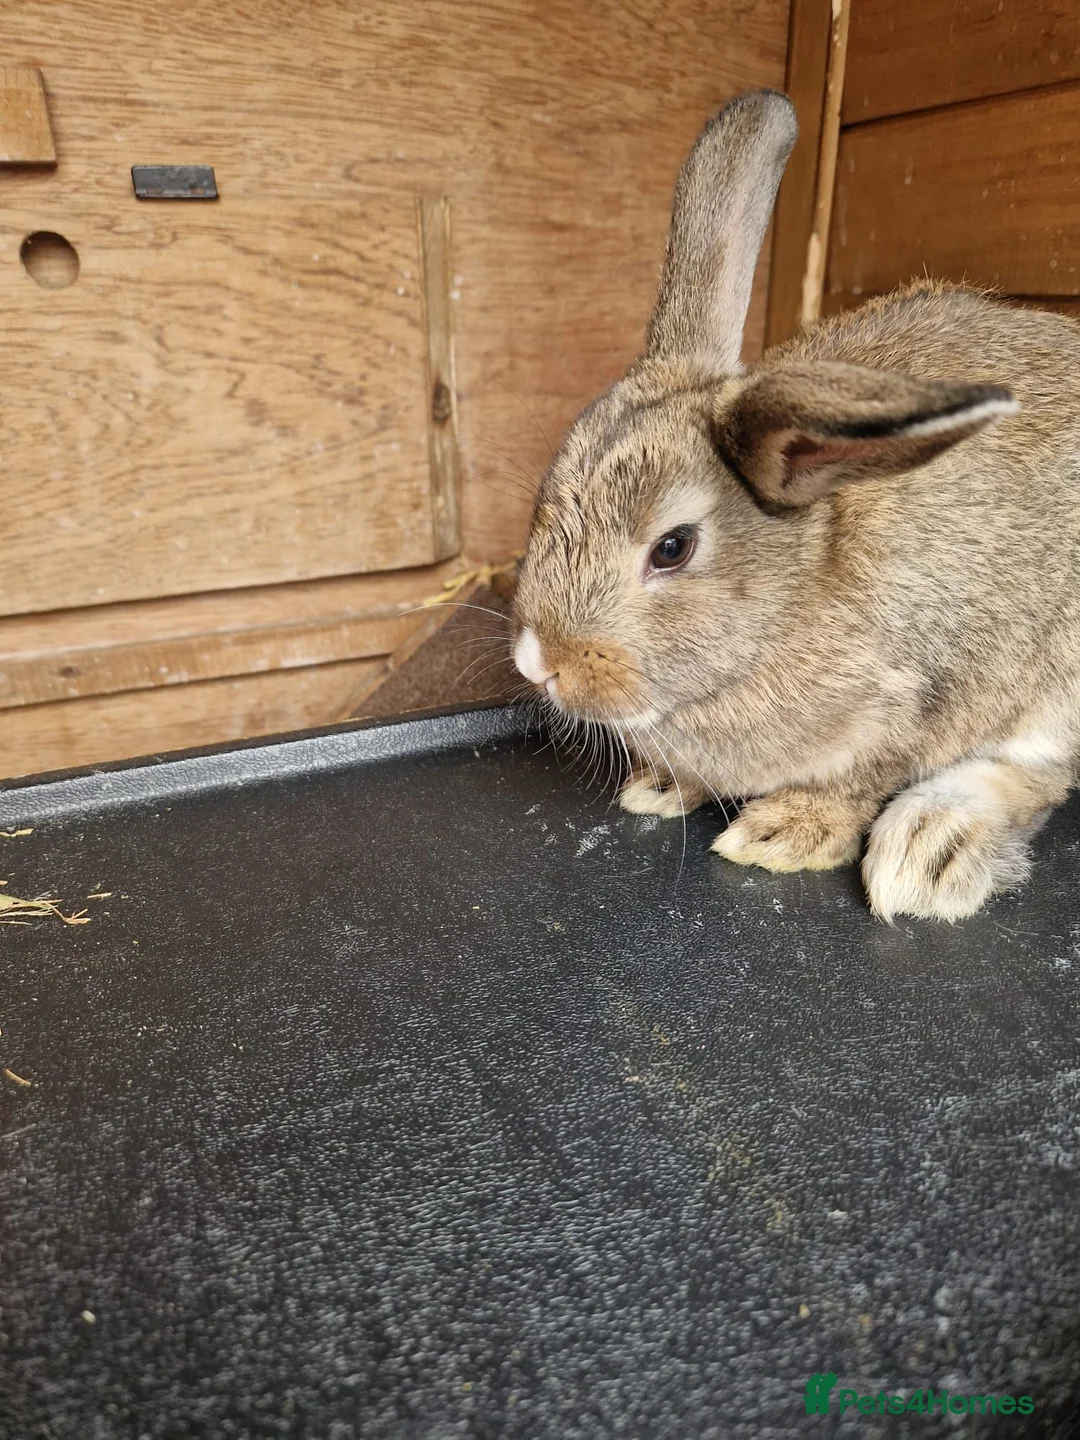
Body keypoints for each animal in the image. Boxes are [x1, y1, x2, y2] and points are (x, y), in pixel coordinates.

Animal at [510, 88, 1080, 922]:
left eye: (672, 547)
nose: (537, 662)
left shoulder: (919, 702)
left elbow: (859, 781)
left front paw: (784, 832)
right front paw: (663, 786)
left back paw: (930, 852)